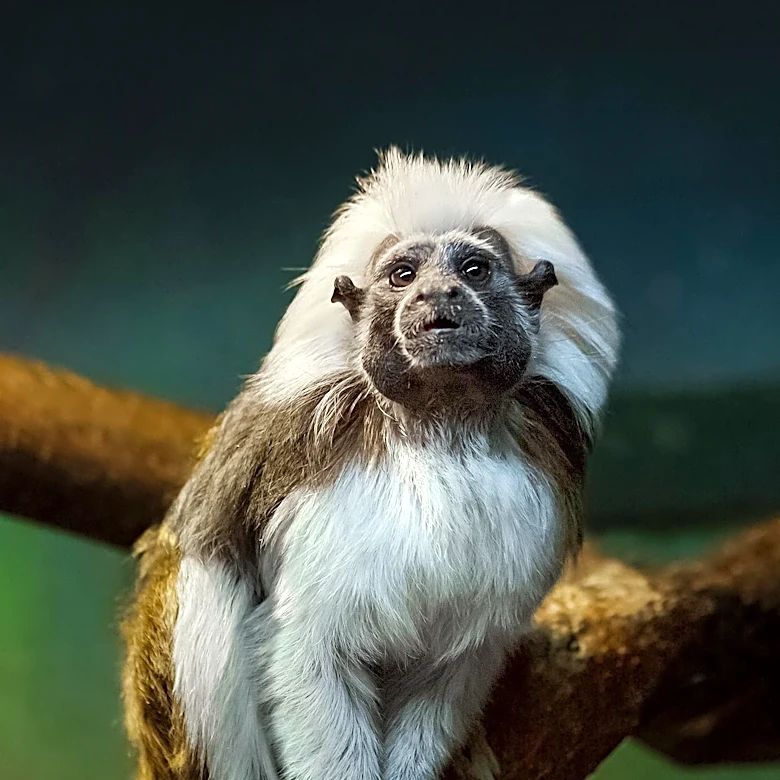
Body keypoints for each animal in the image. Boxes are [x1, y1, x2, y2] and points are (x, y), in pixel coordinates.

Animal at [121, 147, 620, 780]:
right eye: (404, 275)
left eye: (473, 270)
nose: (439, 296)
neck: (439, 433)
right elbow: (309, 655)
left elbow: (446, 668)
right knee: (200, 578)